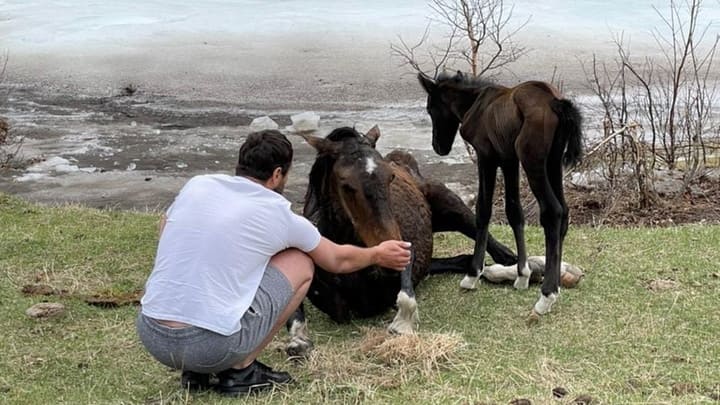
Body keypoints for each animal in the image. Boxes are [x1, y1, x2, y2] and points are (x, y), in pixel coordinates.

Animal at [284, 126, 518, 357]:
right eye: (346, 185)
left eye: (390, 177)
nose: (389, 256)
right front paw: (298, 340)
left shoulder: (405, 251)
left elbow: (405, 297)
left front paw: (401, 325)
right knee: (462, 260)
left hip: (453, 209)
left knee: (500, 250)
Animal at [418, 71, 584, 318]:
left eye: (430, 108)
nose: (439, 147)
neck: (475, 103)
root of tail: (555, 101)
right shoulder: (508, 160)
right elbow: (514, 212)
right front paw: (522, 276)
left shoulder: (486, 156)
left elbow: (483, 210)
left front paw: (472, 275)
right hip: (553, 163)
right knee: (563, 211)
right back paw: (555, 282)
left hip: (532, 162)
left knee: (552, 212)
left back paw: (546, 296)